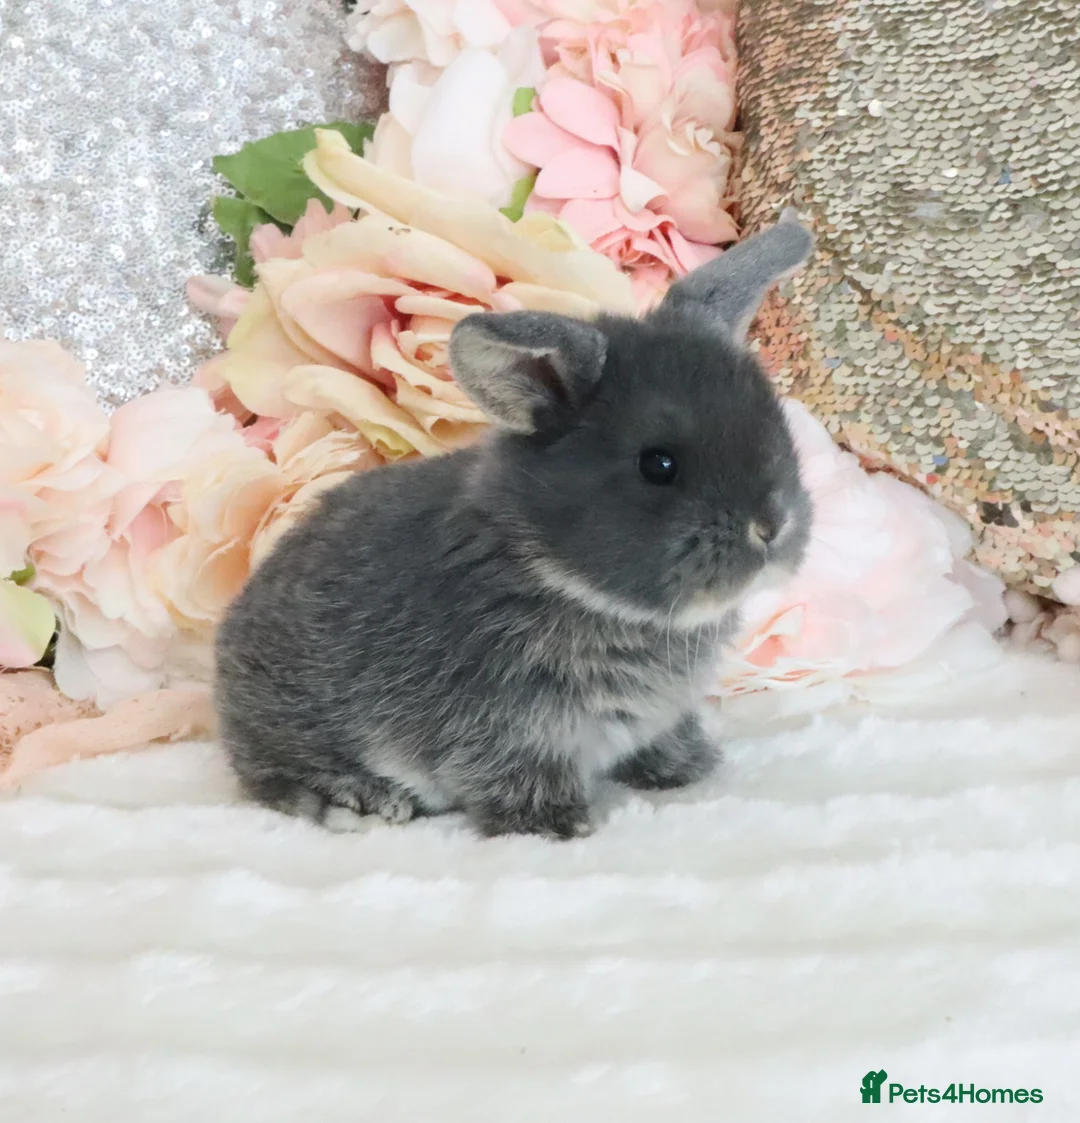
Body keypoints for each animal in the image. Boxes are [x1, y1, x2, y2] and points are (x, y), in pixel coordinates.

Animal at [214, 212, 814, 839]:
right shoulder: (504, 727)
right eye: (658, 465)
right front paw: (556, 825)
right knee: (272, 776)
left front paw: (689, 768)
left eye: (777, 426)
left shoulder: (660, 716)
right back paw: (363, 801)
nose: (771, 526)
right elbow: (513, 776)